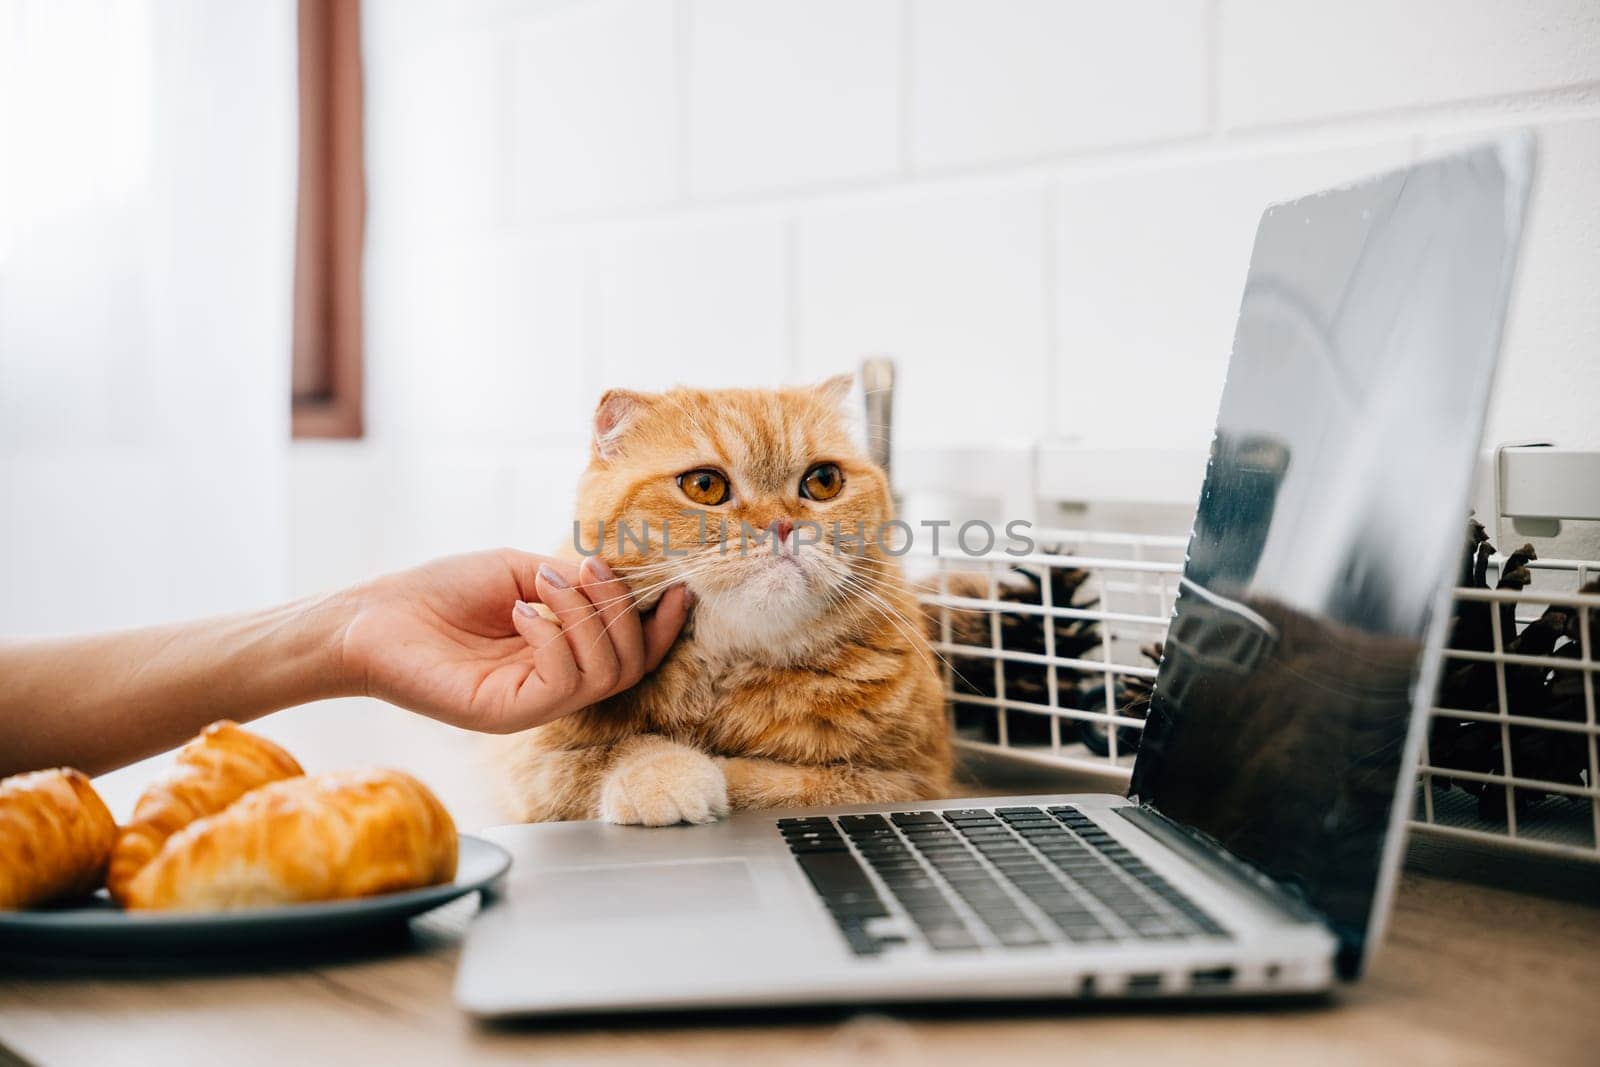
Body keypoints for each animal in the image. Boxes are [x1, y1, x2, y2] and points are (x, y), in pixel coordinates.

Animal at [496, 375, 947, 825]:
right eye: (705, 486)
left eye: (823, 480)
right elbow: (607, 754)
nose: (782, 526)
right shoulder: (528, 769)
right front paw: (663, 772)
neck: (727, 668)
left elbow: (791, 784)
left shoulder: (909, 781)